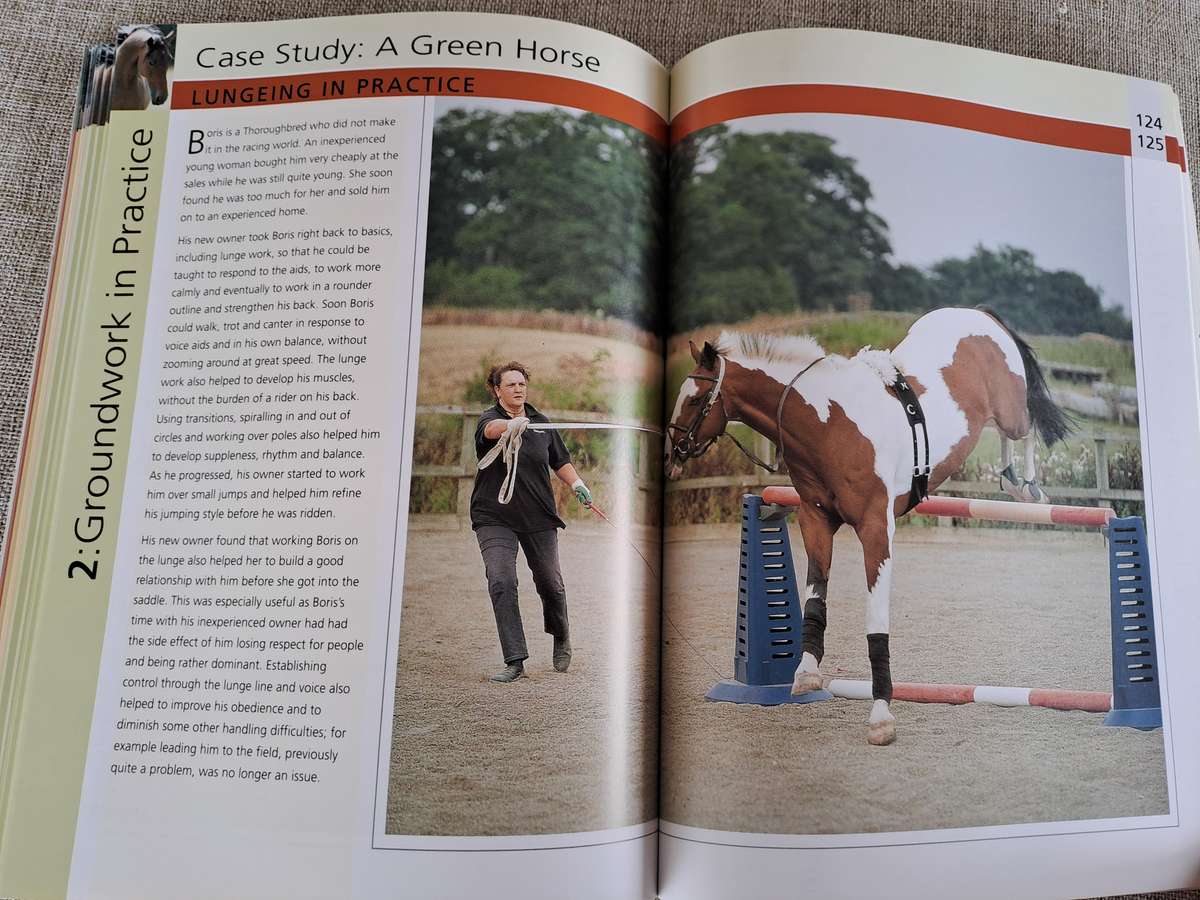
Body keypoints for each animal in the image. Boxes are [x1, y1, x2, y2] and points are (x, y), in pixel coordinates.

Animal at [665, 307, 1072, 745]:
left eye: (694, 399)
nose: (671, 456)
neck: (828, 424)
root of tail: (982, 314)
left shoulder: (876, 528)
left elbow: (875, 622)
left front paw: (881, 715)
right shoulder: (815, 520)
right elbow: (815, 597)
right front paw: (806, 674)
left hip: (1008, 407)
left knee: (1024, 429)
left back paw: (1026, 487)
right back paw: (1012, 480)